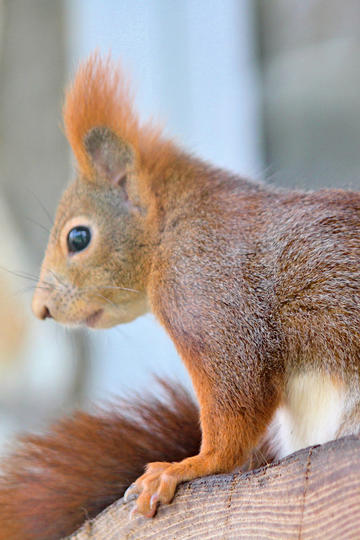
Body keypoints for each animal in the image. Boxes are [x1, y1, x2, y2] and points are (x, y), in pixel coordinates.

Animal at [0, 49, 360, 536]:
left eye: (78, 238)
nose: (41, 309)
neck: (173, 224)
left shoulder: (207, 288)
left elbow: (237, 394)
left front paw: (189, 465)